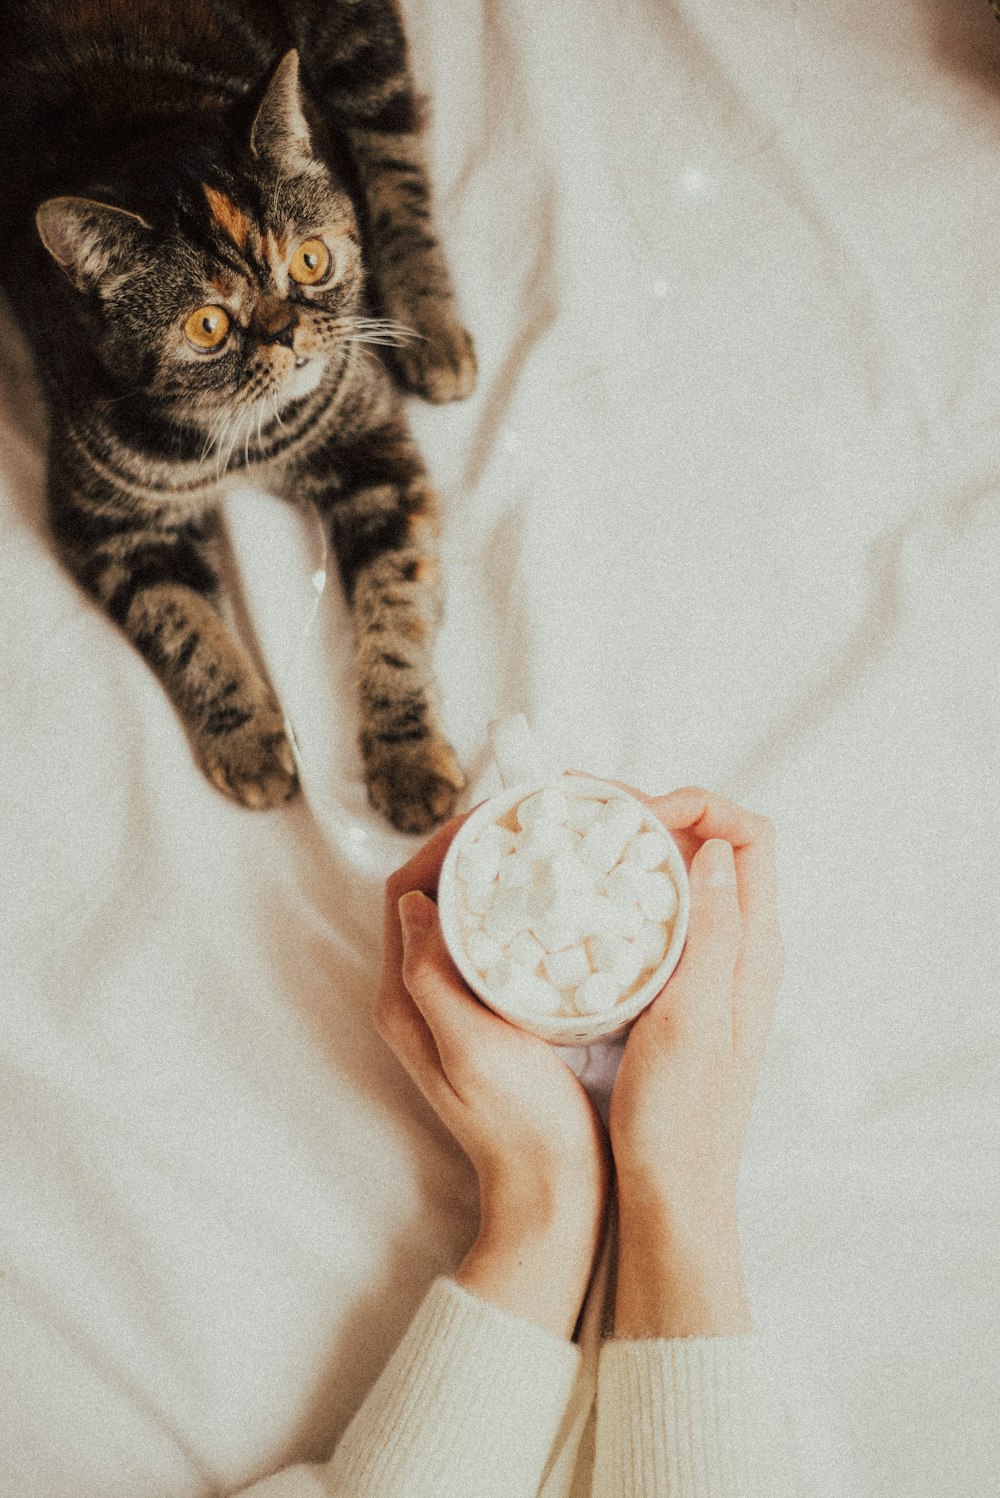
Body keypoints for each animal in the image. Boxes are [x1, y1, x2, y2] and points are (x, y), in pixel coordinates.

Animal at [0, 2, 476, 832]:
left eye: (311, 261)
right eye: (207, 326)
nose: (286, 332)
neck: (246, 436)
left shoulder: (373, 452)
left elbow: (397, 605)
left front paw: (408, 755)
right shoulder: (108, 523)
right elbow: (182, 624)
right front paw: (250, 741)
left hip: (361, 50)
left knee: (396, 170)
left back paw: (431, 329)